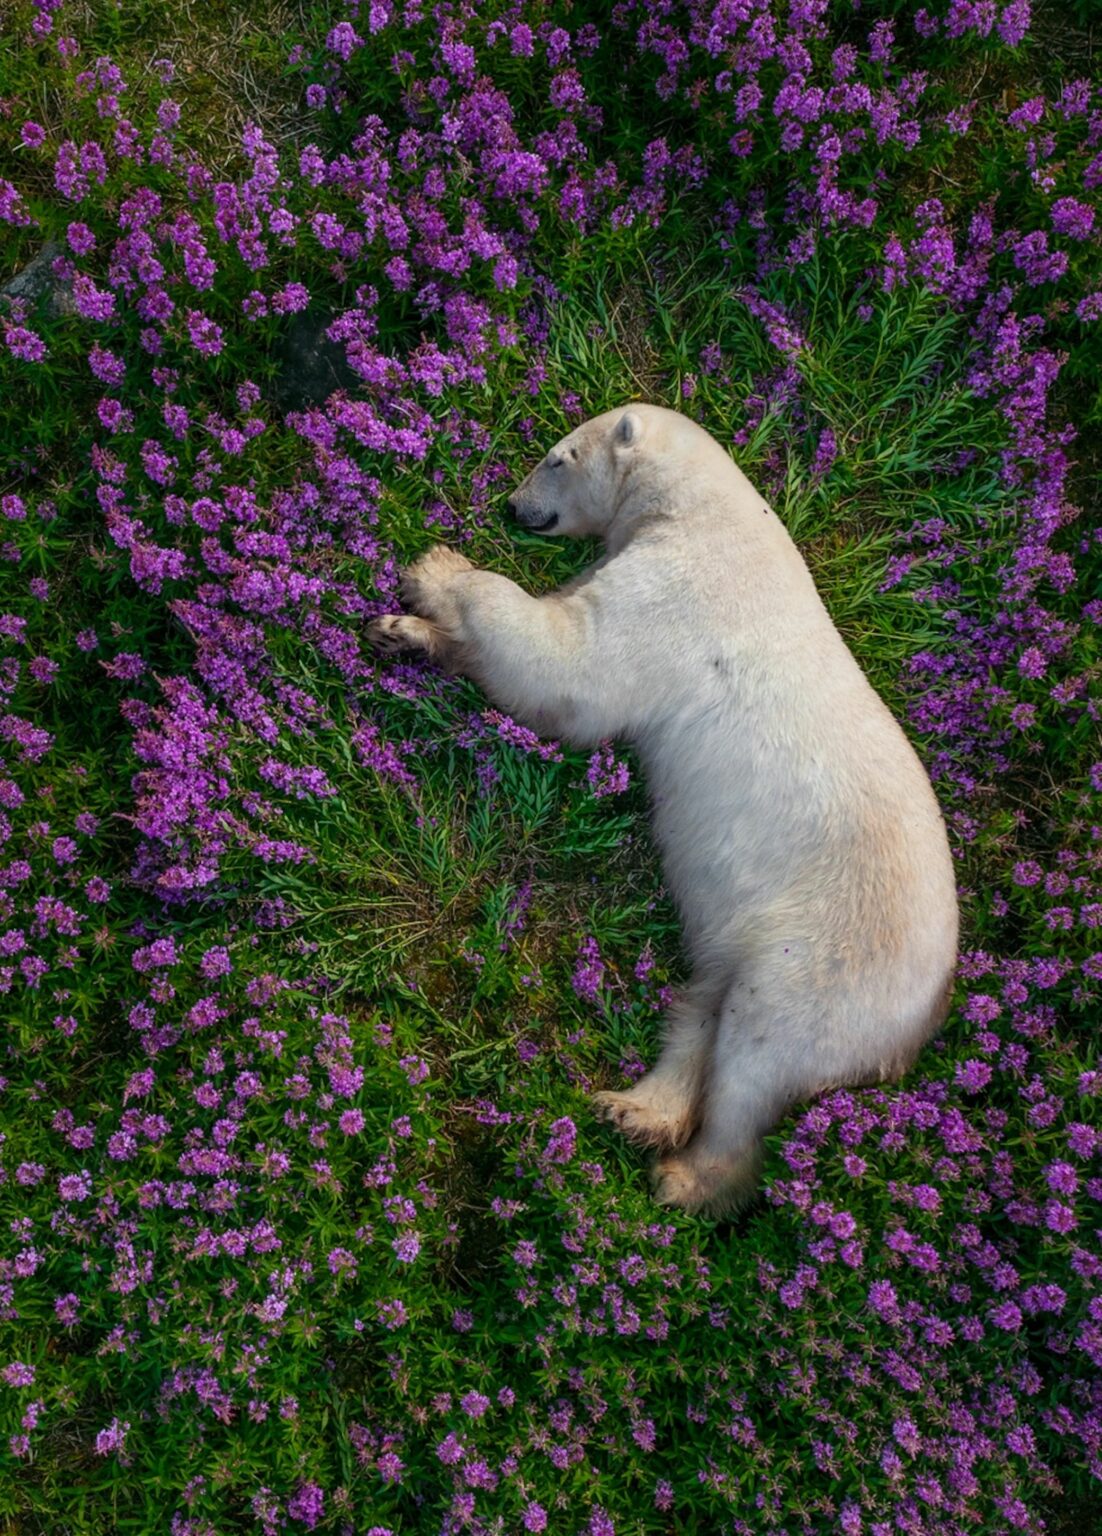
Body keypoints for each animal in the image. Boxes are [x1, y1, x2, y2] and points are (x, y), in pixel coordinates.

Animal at [368, 403, 959, 1216]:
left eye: (557, 457)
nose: (513, 507)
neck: (705, 510)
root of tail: (926, 1018)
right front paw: (401, 632)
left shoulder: (679, 593)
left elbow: (569, 662)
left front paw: (434, 569)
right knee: (703, 1007)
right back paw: (633, 1109)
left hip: (829, 960)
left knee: (758, 1053)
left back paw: (686, 1177)